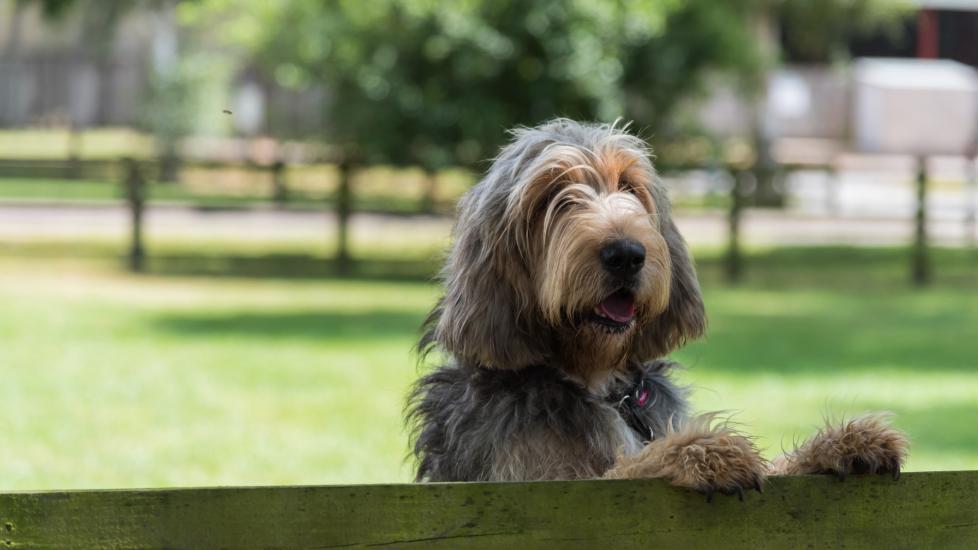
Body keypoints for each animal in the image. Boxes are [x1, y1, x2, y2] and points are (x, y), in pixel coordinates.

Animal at [406, 118, 908, 498]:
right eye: (551, 195)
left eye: (629, 185)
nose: (626, 254)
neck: (598, 381)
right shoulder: (540, 482)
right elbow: (626, 469)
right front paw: (699, 452)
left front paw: (839, 445)